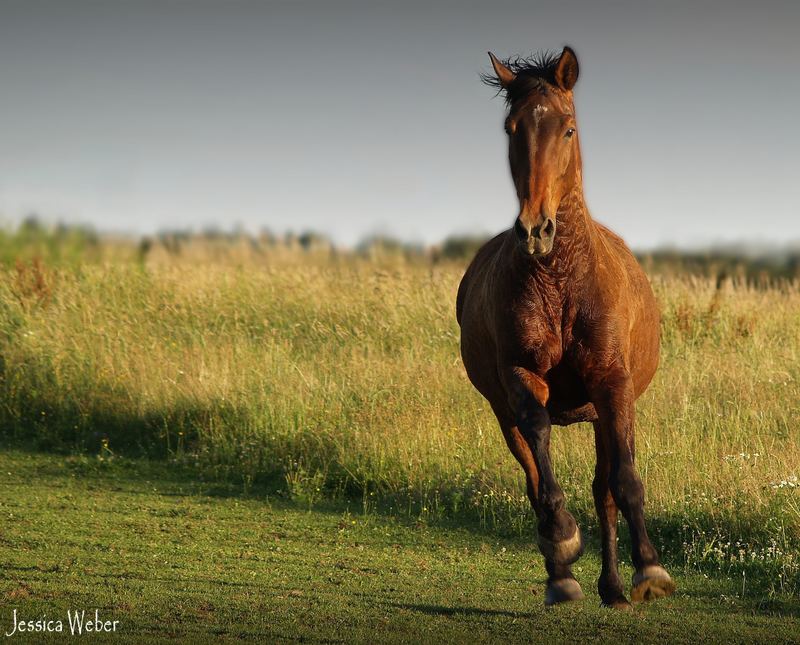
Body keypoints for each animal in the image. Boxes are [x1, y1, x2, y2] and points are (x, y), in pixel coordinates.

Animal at [456, 47, 676, 608]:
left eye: (568, 129)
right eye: (511, 128)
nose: (535, 229)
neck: (560, 279)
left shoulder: (612, 384)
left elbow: (624, 480)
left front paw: (650, 571)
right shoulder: (520, 377)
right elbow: (540, 452)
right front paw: (563, 541)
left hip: (600, 412)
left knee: (604, 490)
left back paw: (615, 587)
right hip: (501, 412)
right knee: (534, 478)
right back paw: (562, 575)